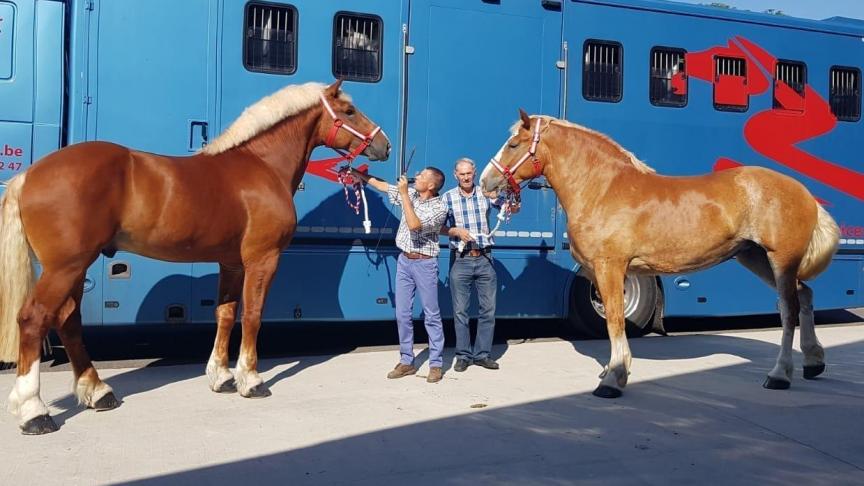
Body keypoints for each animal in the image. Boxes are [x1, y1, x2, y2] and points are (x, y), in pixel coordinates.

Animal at [0, 79, 390, 432]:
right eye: (349, 110)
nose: (384, 145)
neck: (262, 166)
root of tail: (28, 176)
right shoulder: (262, 260)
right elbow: (252, 316)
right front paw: (251, 380)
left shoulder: (231, 263)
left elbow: (225, 314)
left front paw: (221, 377)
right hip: (65, 267)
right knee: (34, 319)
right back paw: (35, 412)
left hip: (76, 267)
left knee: (68, 320)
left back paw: (99, 393)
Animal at [480, 110, 836, 398]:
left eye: (514, 145)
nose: (486, 181)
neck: (602, 188)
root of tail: (803, 192)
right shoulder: (600, 270)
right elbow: (612, 320)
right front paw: (613, 369)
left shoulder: (611, 267)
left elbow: (614, 319)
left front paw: (613, 378)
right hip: (755, 258)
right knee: (805, 295)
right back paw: (813, 363)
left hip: (780, 260)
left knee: (788, 309)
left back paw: (779, 375)